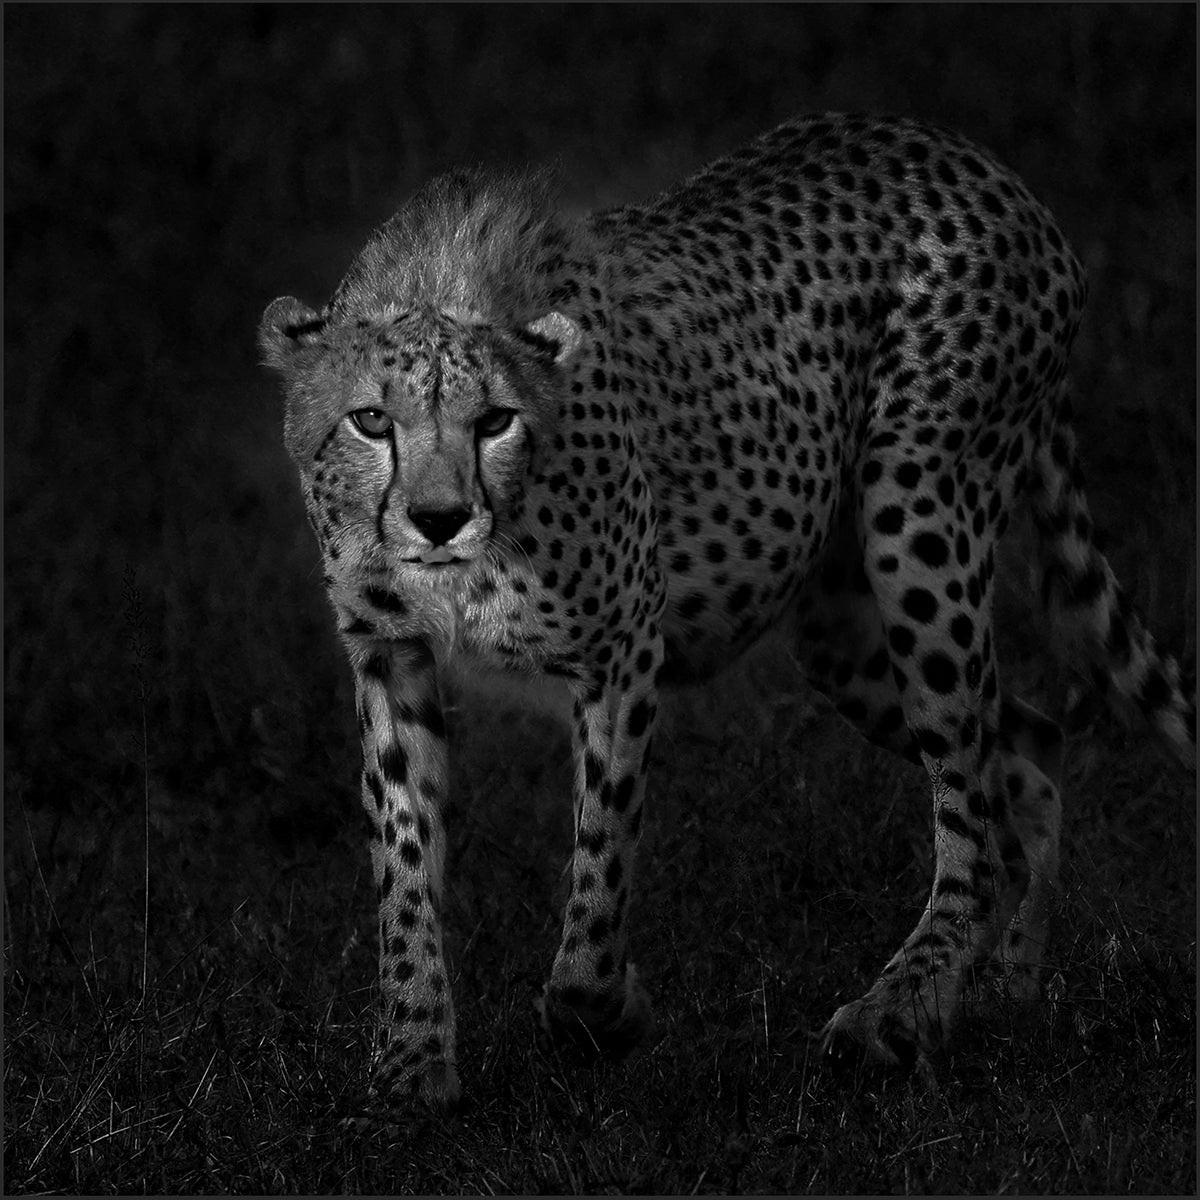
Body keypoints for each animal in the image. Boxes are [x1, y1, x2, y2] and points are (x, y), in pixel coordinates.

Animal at [259, 112, 1195, 1114]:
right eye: (370, 421)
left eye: (495, 421)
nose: (440, 518)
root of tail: (961, 152)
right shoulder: (391, 650)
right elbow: (404, 864)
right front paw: (411, 1059)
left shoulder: (624, 645)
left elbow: (600, 862)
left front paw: (606, 1015)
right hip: (841, 634)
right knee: (1024, 741)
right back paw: (1003, 985)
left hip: (920, 516)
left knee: (972, 808)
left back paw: (896, 1011)